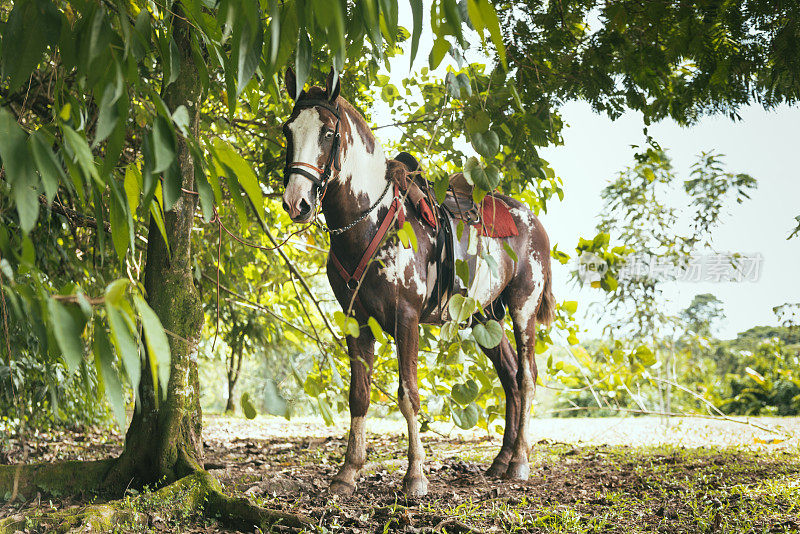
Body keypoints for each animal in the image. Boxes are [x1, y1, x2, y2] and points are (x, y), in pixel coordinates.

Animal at [278, 69, 552, 500]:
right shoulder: (355, 321)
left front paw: (415, 476)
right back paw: (501, 461)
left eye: (327, 133)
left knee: (526, 377)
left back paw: (520, 462)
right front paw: (347, 473)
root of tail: (532, 220)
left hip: (523, 309)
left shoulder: (405, 319)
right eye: (288, 130)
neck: (369, 222)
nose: (296, 203)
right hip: (484, 318)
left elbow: (409, 395)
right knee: (509, 376)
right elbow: (359, 396)